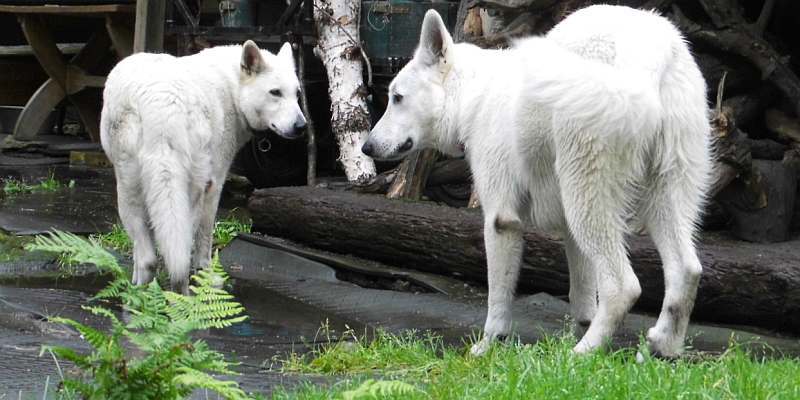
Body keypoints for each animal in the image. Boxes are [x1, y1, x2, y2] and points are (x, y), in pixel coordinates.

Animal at [101, 41, 308, 294]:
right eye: (275, 92)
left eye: (297, 94)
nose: (301, 127)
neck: (233, 86)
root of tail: (160, 101)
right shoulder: (214, 185)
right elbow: (205, 240)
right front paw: (207, 275)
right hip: (190, 189)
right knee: (179, 252)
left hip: (129, 189)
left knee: (148, 258)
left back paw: (142, 292)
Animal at [364, 5, 712, 356]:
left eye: (397, 97)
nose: (366, 147)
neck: (474, 95)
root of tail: (651, 51)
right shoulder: (570, 235)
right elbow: (581, 298)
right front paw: (572, 336)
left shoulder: (501, 220)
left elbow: (498, 299)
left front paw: (488, 347)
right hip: (663, 197)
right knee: (687, 270)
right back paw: (660, 349)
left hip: (587, 199)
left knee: (623, 286)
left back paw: (584, 353)